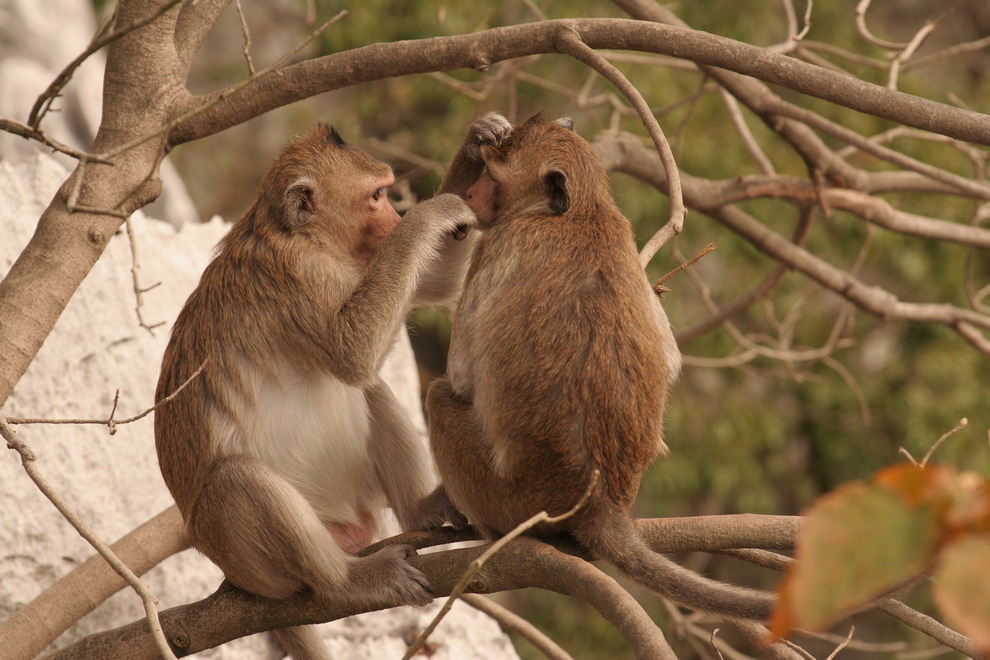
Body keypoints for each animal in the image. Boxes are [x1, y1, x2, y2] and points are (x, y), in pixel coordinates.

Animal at [153, 125, 486, 660]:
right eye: (377, 197)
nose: (396, 220)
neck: (302, 237)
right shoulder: (301, 280)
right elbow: (354, 351)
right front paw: (432, 215)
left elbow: (432, 283)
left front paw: (478, 147)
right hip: (254, 562)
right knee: (238, 479)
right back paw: (349, 582)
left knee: (372, 392)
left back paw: (423, 509)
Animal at [422, 111, 780, 620]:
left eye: (492, 177)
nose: (470, 197)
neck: (580, 211)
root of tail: (599, 505)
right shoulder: (624, 234)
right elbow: (670, 358)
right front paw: (479, 134)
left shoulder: (500, 242)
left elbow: (461, 373)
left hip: (508, 496)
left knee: (439, 396)